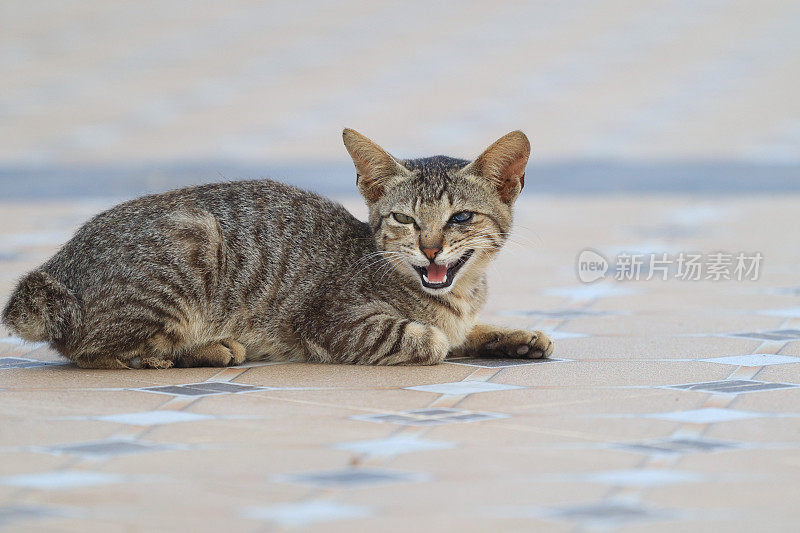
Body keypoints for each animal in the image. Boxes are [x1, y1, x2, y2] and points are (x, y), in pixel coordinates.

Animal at [0, 130, 552, 368]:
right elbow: (431, 338)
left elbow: (464, 330)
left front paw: (513, 335)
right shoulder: (333, 323)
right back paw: (197, 351)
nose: (432, 248)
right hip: (191, 240)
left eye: (461, 218)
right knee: (90, 350)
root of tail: (57, 272)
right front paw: (439, 336)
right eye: (403, 219)